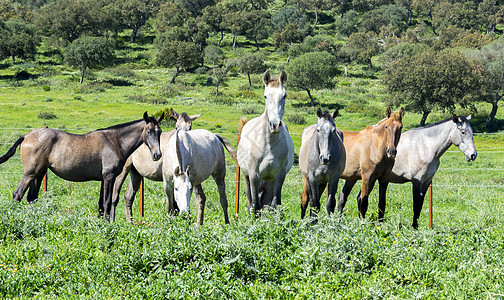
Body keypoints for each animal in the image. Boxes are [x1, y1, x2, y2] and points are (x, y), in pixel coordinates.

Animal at [0, 112, 163, 220]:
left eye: (159, 131)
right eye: (148, 131)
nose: (157, 155)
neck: (115, 141)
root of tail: (26, 136)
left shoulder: (103, 180)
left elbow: (101, 203)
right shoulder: (109, 177)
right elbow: (107, 202)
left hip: (39, 174)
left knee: (31, 197)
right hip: (30, 174)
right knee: (17, 195)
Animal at [237, 69, 296, 216]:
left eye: (284, 96)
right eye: (265, 96)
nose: (274, 125)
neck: (268, 144)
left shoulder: (279, 176)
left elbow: (273, 204)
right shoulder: (253, 175)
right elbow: (255, 205)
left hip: (270, 180)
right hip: (247, 176)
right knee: (251, 200)